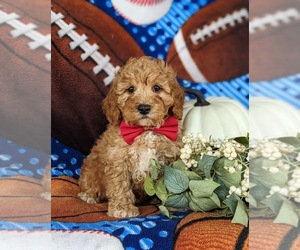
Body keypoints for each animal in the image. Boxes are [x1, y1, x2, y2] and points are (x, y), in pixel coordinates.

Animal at [78, 56, 184, 217]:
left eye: (157, 88)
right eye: (130, 89)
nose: (144, 108)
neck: (145, 130)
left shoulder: (170, 157)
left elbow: (172, 181)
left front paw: (174, 202)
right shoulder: (117, 159)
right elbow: (120, 185)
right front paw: (122, 208)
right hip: (91, 169)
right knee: (89, 183)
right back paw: (88, 196)